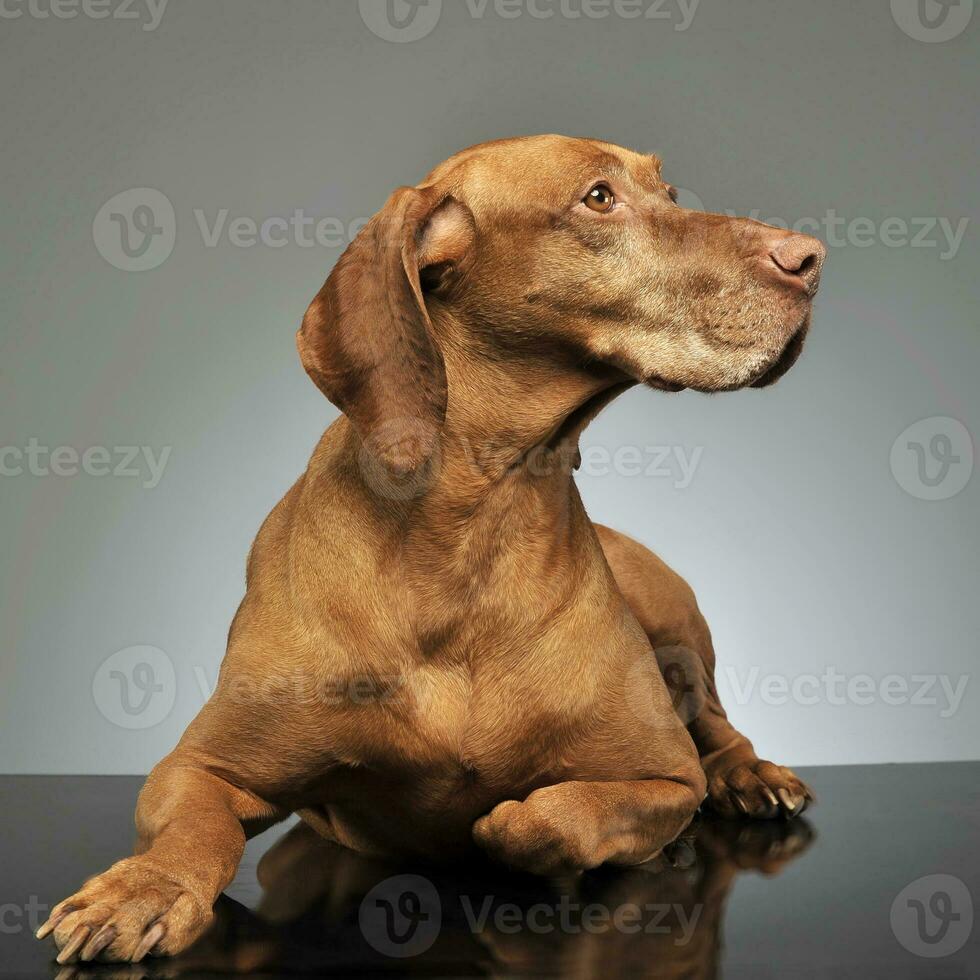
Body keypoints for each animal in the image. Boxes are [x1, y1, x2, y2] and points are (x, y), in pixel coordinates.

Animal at [38, 136, 824, 964]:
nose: (810, 258)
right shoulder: (199, 766)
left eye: (669, 193)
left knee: (714, 722)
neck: (469, 536)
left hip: (671, 613)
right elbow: (197, 828)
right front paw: (142, 891)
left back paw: (751, 776)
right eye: (598, 197)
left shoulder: (662, 775)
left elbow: (536, 817)